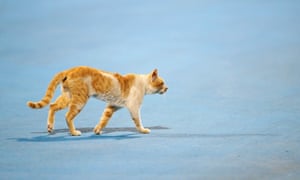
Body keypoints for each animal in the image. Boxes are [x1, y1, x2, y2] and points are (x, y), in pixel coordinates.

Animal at [26, 67, 168, 136]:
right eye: (162, 83)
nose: (167, 88)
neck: (142, 83)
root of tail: (70, 69)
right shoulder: (134, 107)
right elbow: (138, 122)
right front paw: (143, 130)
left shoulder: (112, 106)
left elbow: (104, 120)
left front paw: (97, 130)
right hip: (80, 100)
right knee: (68, 116)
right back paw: (73, 132)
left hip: (68, 96)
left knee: (52, 106)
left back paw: (50, 127)